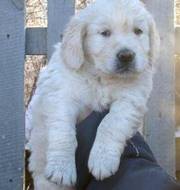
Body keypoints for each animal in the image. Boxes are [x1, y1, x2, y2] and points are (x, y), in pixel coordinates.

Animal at [28, 0, 160, 189]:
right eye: (105, 33)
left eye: (138, 31)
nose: (126, 55)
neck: (101, 77)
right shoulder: (61, 95)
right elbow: (64, 132)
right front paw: (61, 168)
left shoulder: (131, 99)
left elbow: (110, 123)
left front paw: (102, 160)